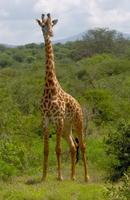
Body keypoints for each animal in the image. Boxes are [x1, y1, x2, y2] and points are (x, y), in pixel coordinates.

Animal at [36, 13, 89, 182]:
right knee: (73, 146)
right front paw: (43, 177)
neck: (50, 88)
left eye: (52, 25)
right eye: (42, 26)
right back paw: (72, 177)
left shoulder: (58, 119)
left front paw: (59, 177)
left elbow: (58, 149)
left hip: (78, 122)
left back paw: (86, 177)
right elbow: (46, 150)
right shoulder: (45, 120)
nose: (50, 34)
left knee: (82, 146)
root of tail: (79, 104)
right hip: (67, 128)